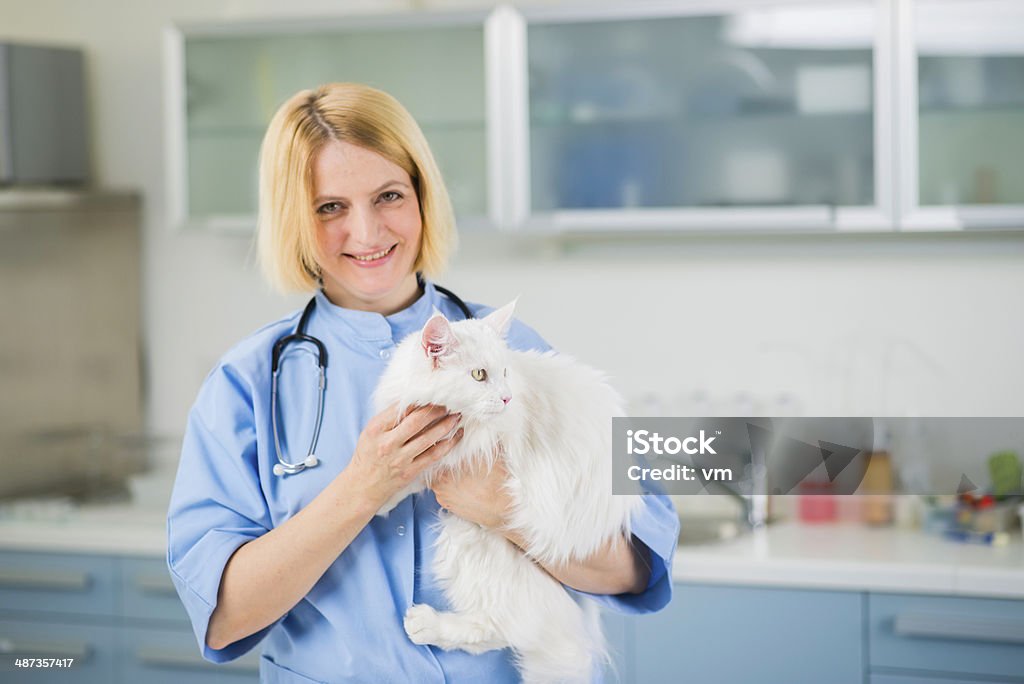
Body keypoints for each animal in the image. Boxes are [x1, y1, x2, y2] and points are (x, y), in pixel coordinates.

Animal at [372, 301, 634, 679]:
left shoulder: (467, 450)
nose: (507, 398)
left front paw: (383, 498)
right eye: (479, 375)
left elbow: (418, 473)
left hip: (468, 538)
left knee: (497, 627)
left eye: (506, 372)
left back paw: (425, 623)